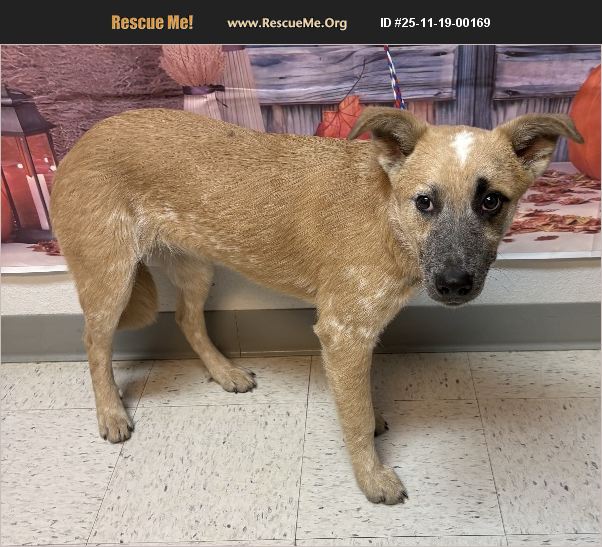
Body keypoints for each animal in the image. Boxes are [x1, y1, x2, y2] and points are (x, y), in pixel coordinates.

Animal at [50, 107, 582, 505]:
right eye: (425, 202)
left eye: (492, 201)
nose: (454, 285)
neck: (387, 216)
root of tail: (80, 142)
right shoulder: (343, 332)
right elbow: (355, 416)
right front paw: (372, 478)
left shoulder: (361, 334)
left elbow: (361, 399)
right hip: (110, 276)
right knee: (94, 343)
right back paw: (111, 414)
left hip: (195, 265)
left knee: (185, 318)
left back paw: (225, 373)